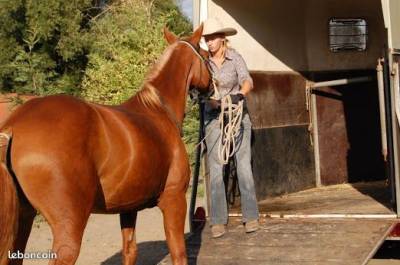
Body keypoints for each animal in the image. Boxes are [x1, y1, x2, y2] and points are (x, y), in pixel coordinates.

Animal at [0, 25, 211, 264]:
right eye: (206, 56)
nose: (212, 87)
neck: (158, 110)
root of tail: (13, 126)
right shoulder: (174, 200)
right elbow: (179, 253)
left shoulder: (128, 208)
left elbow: (130, 251)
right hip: (67, 229)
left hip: (23, 220)